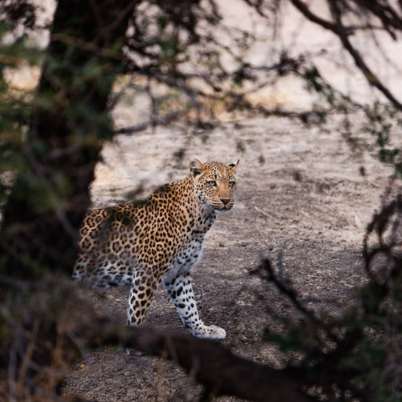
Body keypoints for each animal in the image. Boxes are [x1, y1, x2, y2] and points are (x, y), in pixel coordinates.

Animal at [73, 159, 239, 340]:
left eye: (231, 183)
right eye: (211, 183)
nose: (226, 200)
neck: (201, 218)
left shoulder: (178, 272)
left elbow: (188, 306)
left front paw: (203, 330)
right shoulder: (147, 273)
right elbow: (137, 314)